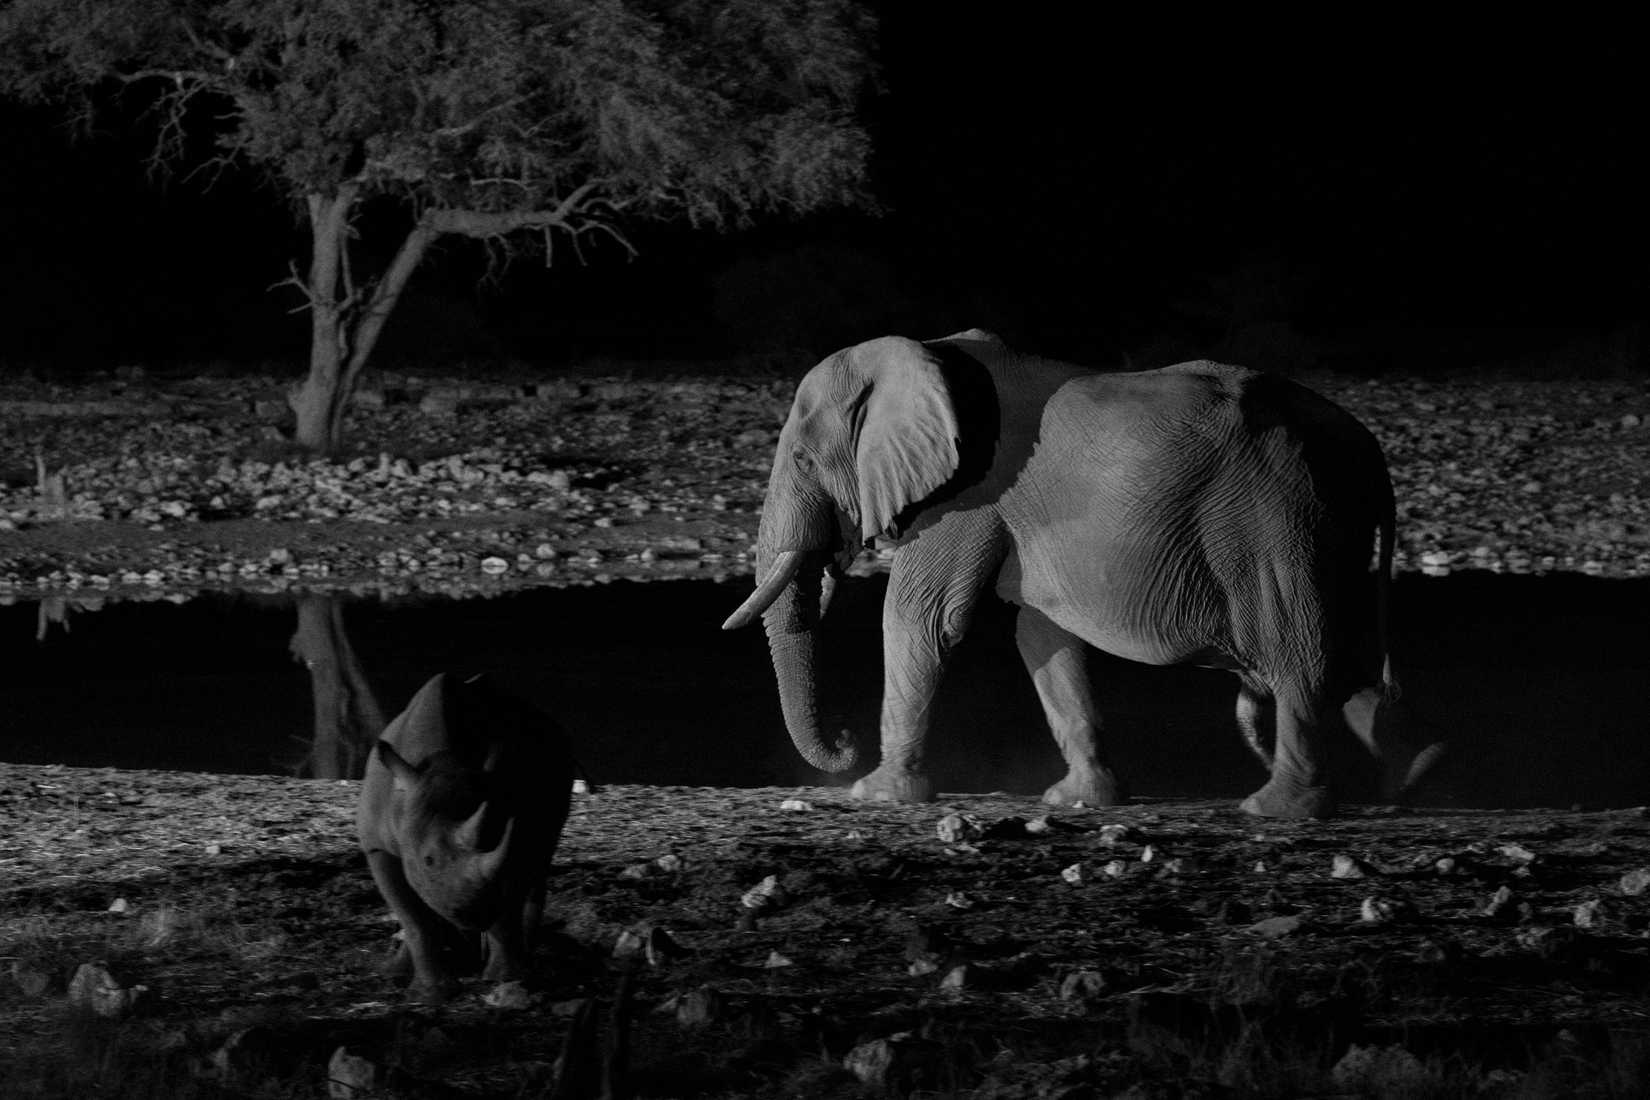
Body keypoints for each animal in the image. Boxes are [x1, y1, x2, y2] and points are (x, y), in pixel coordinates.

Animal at [357, 672, 573, 1001]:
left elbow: (507, 898)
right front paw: (432, 993)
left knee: (540, 857)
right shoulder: (377, 846)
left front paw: (507, 977)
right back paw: (399, 971)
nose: (475, 913)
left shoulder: (515, 836)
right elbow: (414, 917)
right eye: (428, 860)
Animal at [723, 329, 1436, 819]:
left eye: (804, 459)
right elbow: (1040, 635)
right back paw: (1414, 774)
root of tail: (1370, 450)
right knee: (1342, 658)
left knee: (1299, 653)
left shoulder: (968, 492)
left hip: (1276, 517)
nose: (843, 740)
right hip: (1318, 524)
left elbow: (920, 618)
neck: (922, 355)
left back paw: (1277, 809)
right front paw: (1078, 800)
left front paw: (877, 793)